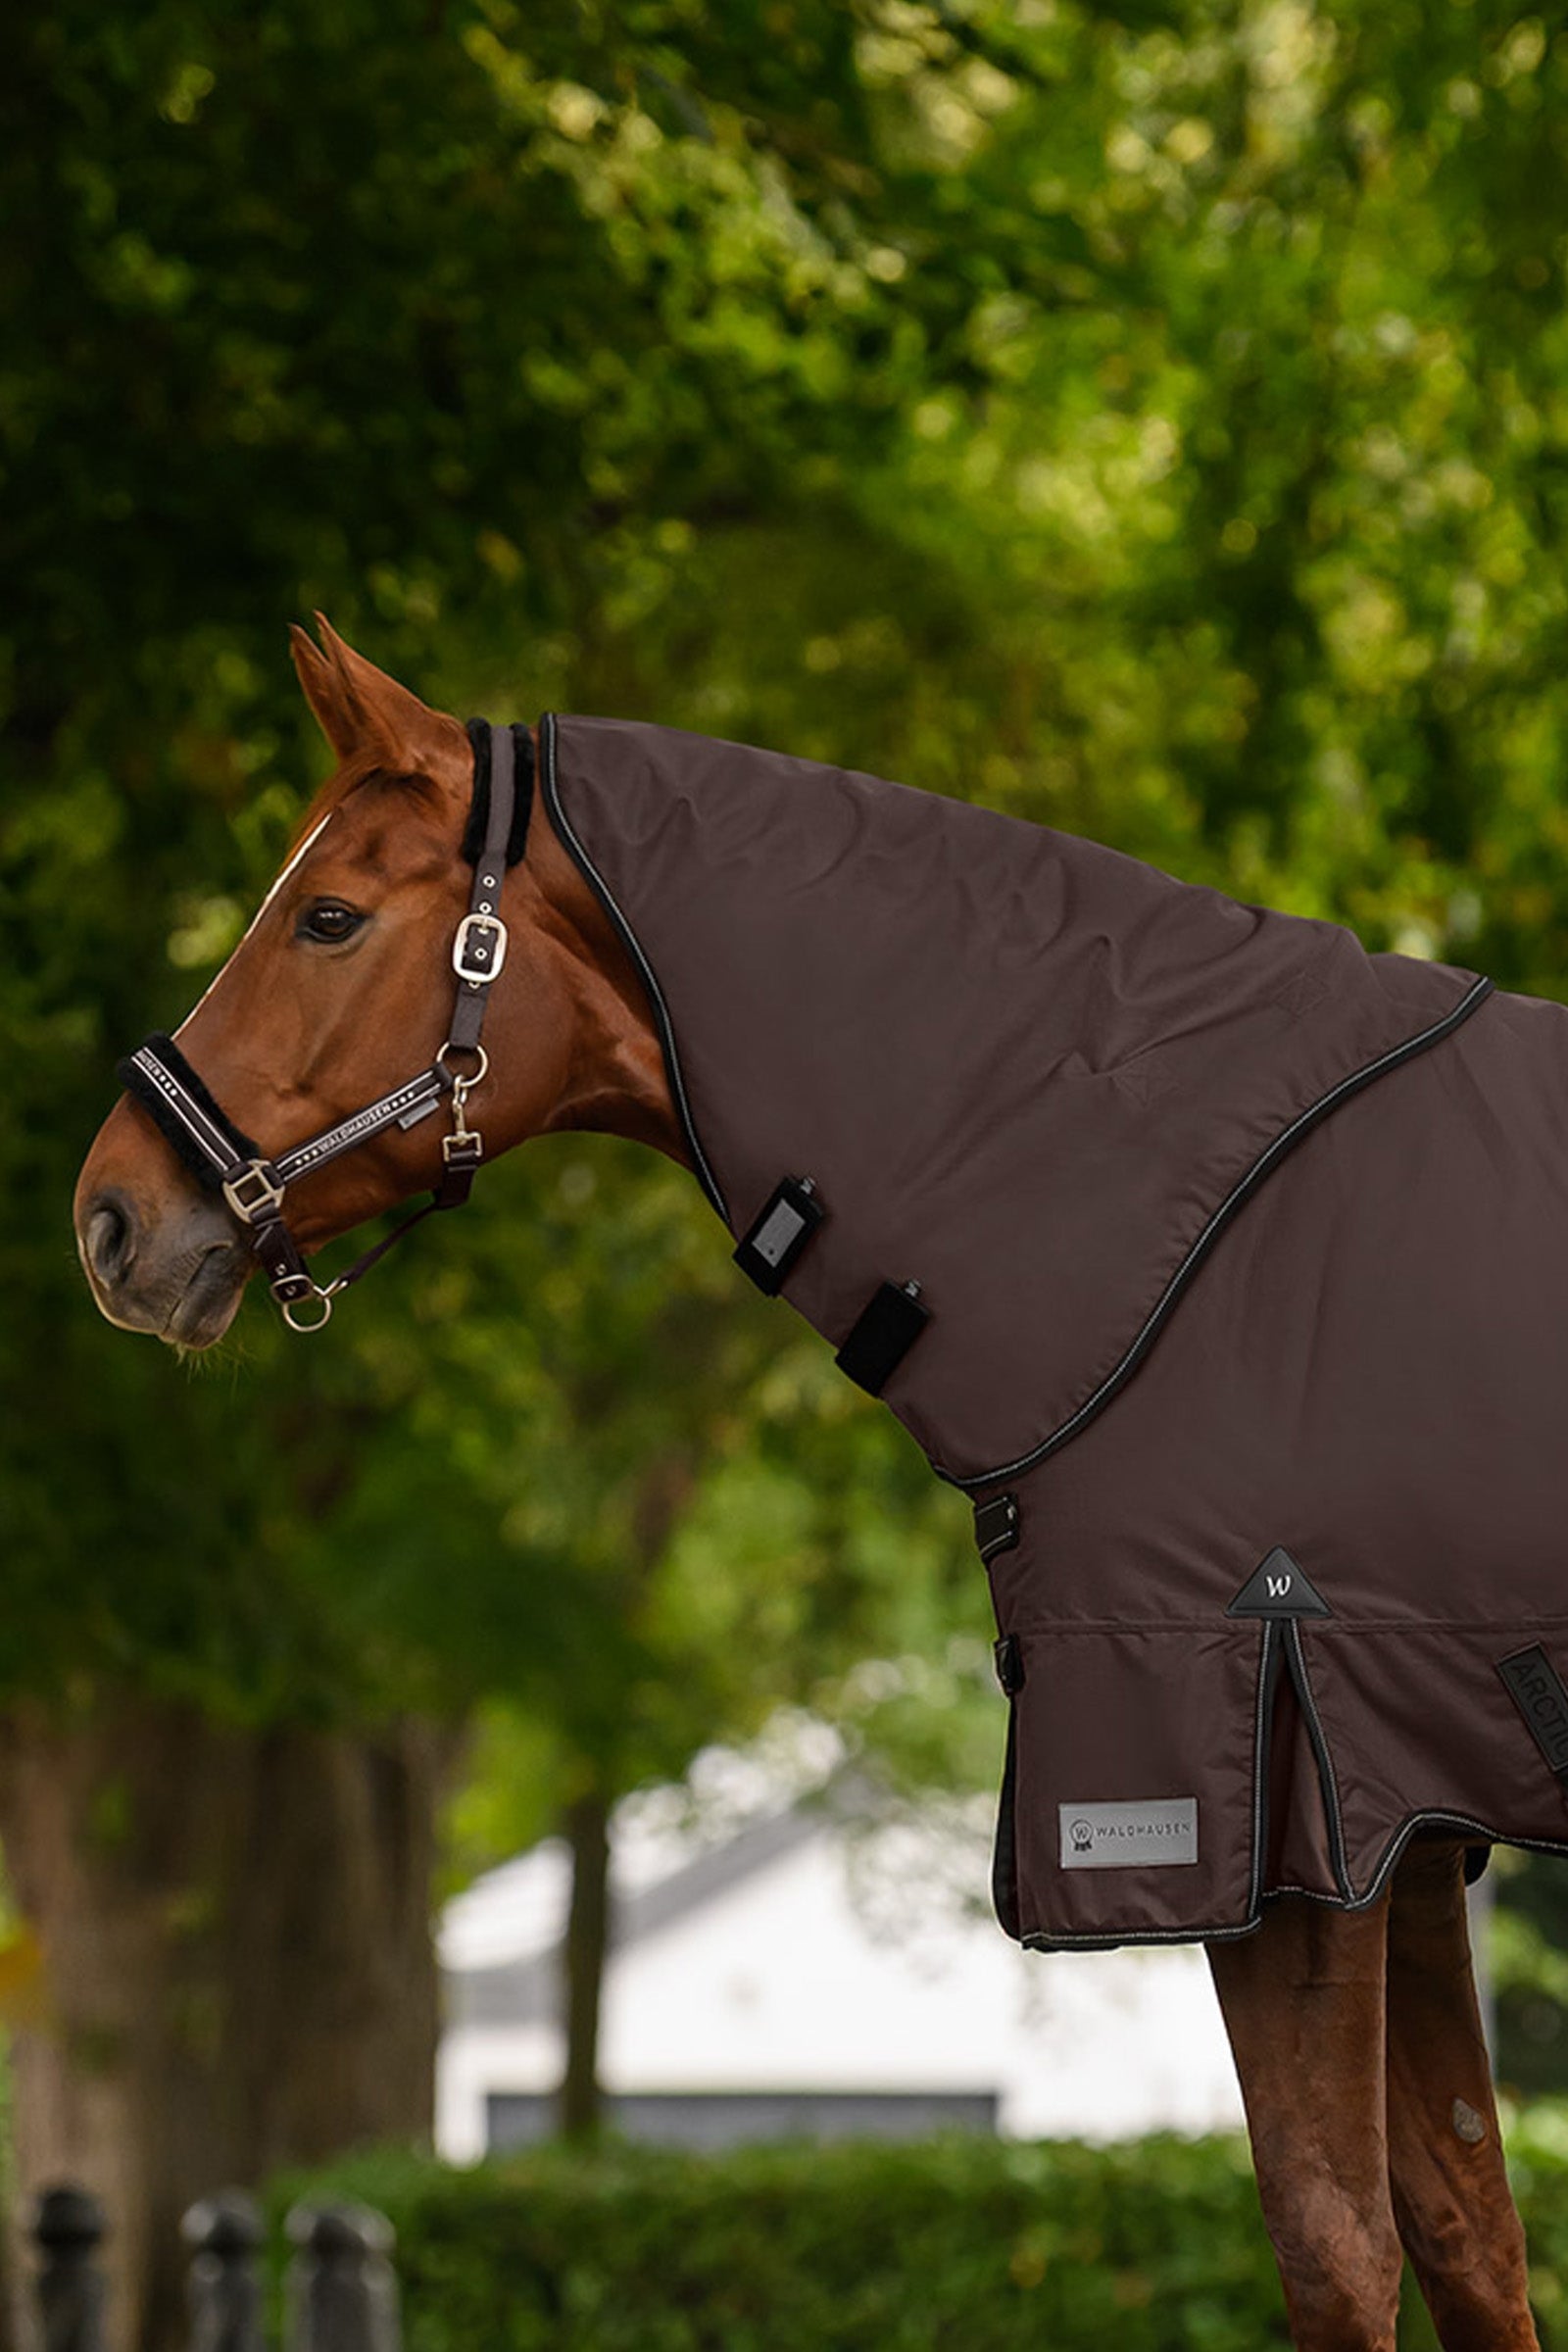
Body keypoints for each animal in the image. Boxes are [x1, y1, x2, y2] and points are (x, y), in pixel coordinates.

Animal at [75, 620, 1548, 2352]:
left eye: (327, 916)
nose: (111, 1219)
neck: (1186, 1224)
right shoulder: (1404, 1826)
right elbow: (1466, 2232)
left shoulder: (1277, 1812)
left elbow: (1339, 2248)